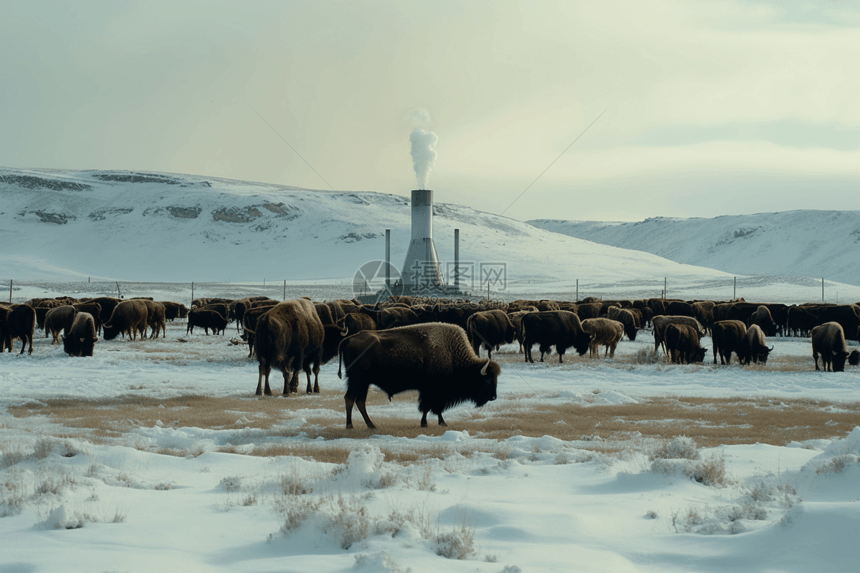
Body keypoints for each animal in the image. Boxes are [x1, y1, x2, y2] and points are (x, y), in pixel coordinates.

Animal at [334, 324, 498, 426]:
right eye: (487, 380)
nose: (494, 397)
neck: (450, 353)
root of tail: (347, 339)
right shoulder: (433, 390)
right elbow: (429, 407)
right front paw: (429, 423)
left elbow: (433, 408)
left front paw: (440, 422)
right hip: (357, 380)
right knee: (350, 399)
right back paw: (350, 425)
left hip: (363, 382)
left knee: (359, 401)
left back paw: (371, 425)